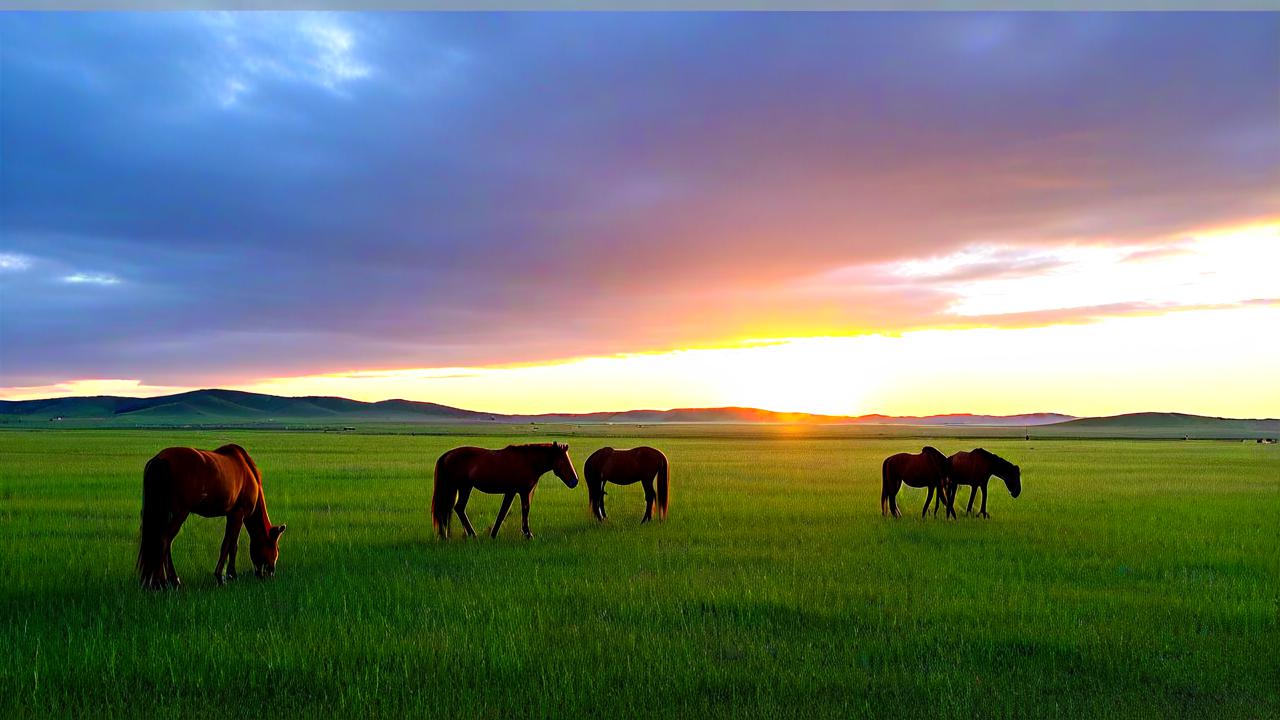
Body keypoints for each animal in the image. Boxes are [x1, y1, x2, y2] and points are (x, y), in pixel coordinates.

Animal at [136, 443, 284, 589]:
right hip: (180, 513)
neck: (249, 473)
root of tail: (159, 459)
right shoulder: (238, 514)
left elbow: (226, 544)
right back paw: (165, 581)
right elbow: (233, 545)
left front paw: (221, 576)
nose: (271, 573)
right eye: (276, 548)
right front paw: (231, 575)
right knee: (164, 540)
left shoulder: (230, 515)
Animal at [432, 438, 578, 538]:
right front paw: (527, 534)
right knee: (456, 509)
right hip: (462, 487)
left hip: (461, 488)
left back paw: (450, 536)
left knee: (454, 509)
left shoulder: (516, 492)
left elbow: (507, 512)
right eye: (563, 461)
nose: (574, 481)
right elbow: (515, 511)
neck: (528, 461)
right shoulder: (518, 492)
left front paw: (494, 534)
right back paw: (471, 535)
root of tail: (447, 455)